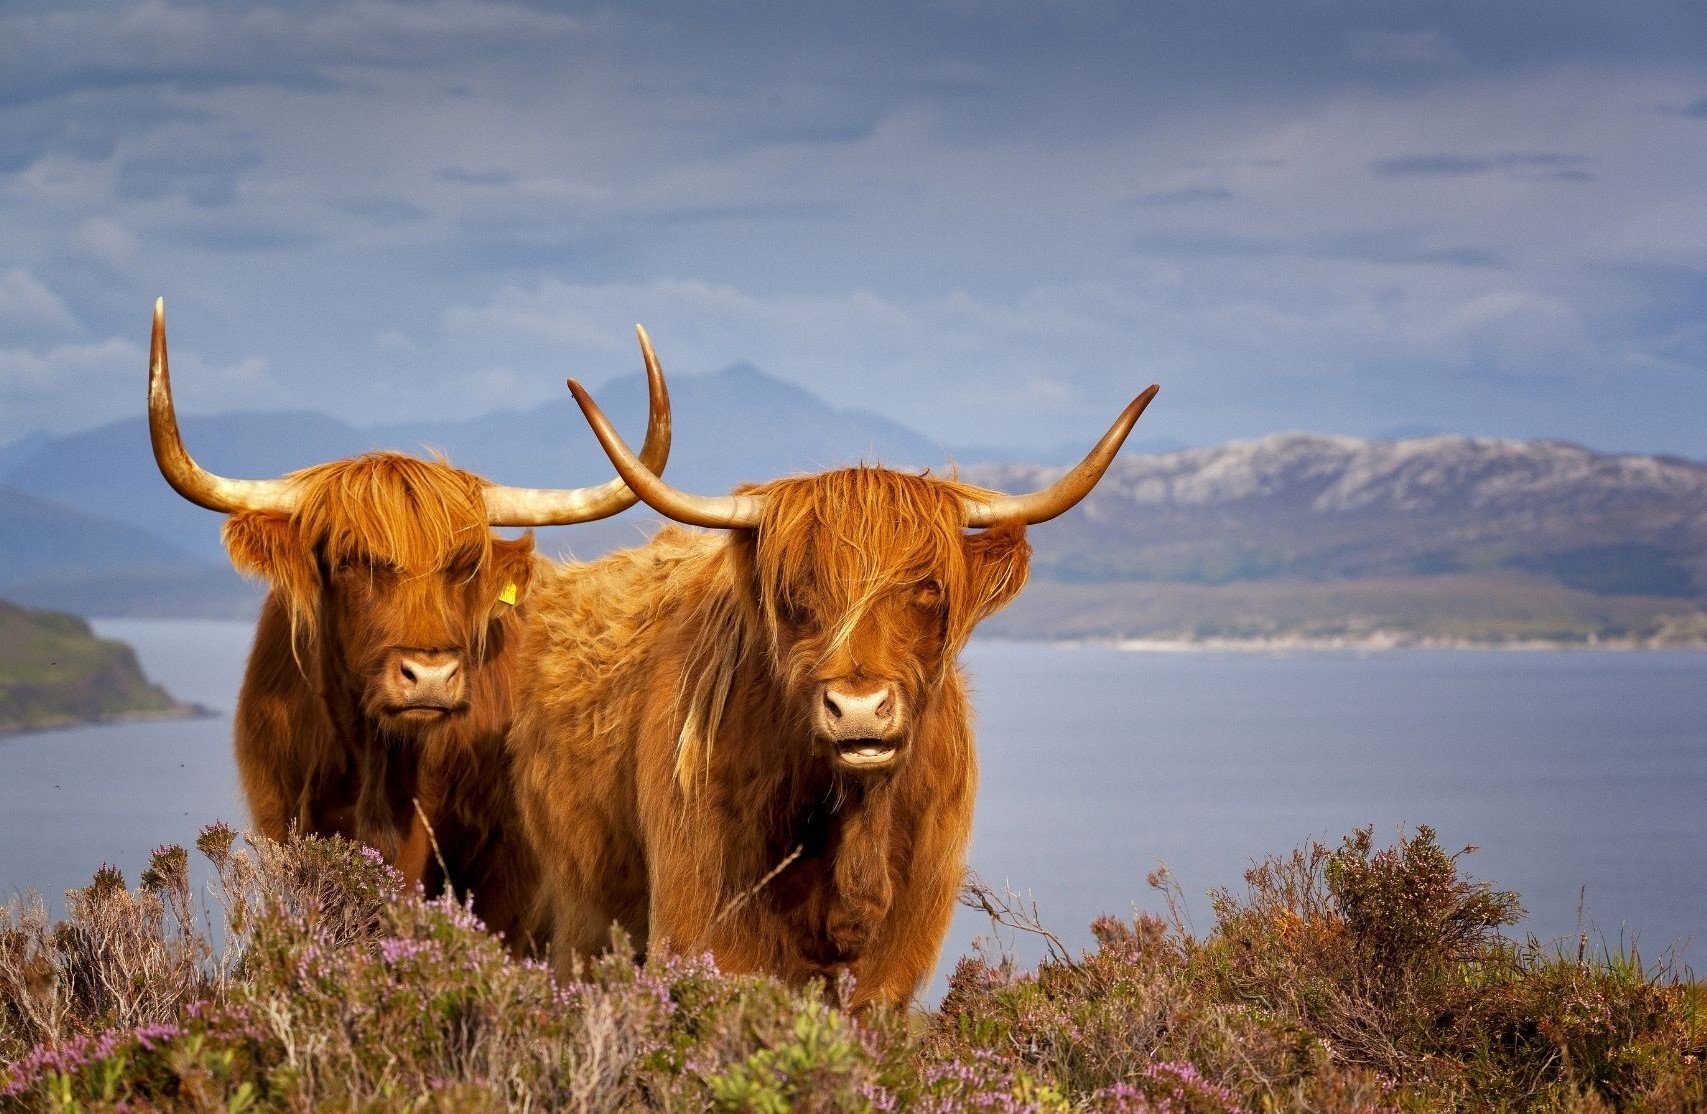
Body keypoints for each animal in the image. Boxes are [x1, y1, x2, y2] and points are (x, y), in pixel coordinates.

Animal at [508, 360, 1157, 1007]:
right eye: (796, 591)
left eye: (928, 587)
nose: (860, 708)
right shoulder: (705, 931)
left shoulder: (894, 967)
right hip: (583, 917)